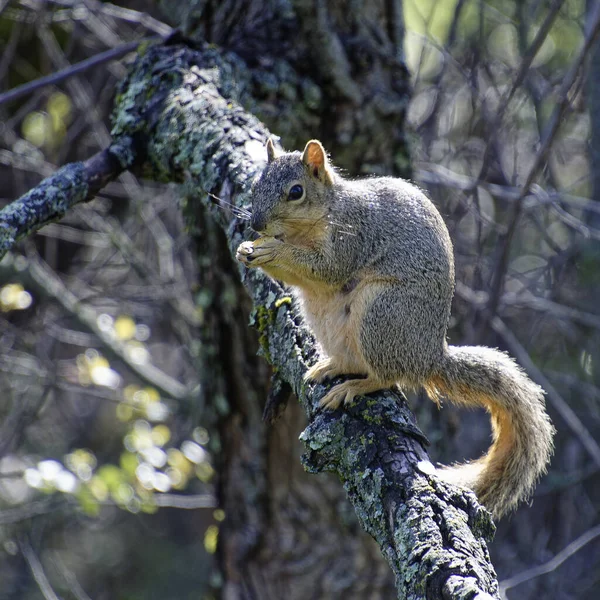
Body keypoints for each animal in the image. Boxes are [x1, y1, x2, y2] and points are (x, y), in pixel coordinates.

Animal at [237, 138, 556, 516]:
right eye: (256, 185)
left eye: (295, 192)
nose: (256, 225)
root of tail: (429, 357)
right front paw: (245, 250)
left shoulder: (352, 236)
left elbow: (326, 268)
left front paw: (272, 251)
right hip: (326, 315)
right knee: (355, 361)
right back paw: (332, 367)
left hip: (382, 313)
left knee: (388, 376)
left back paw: (356, 386)